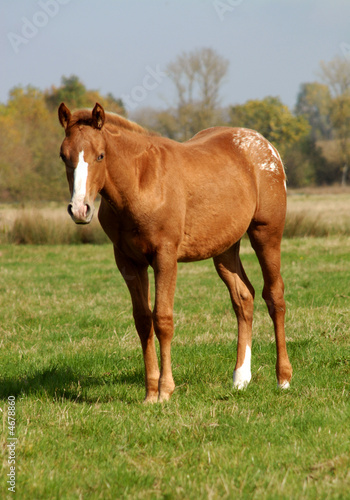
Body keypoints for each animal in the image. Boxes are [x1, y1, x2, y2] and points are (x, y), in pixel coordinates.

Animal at [58, 101, 292, 402]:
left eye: (100, 155)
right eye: (63, 156)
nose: (79, 209)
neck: (142, 182)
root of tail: (264, 145)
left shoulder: (165, 257)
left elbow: (163, 319)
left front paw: (165, 391)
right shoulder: (128, 261)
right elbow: (143, 320)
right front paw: (150, 393)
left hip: (266, 234)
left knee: (274, 296)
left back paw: (283, 379)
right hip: (225, 249)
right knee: (243, 298)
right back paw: (241, 378)